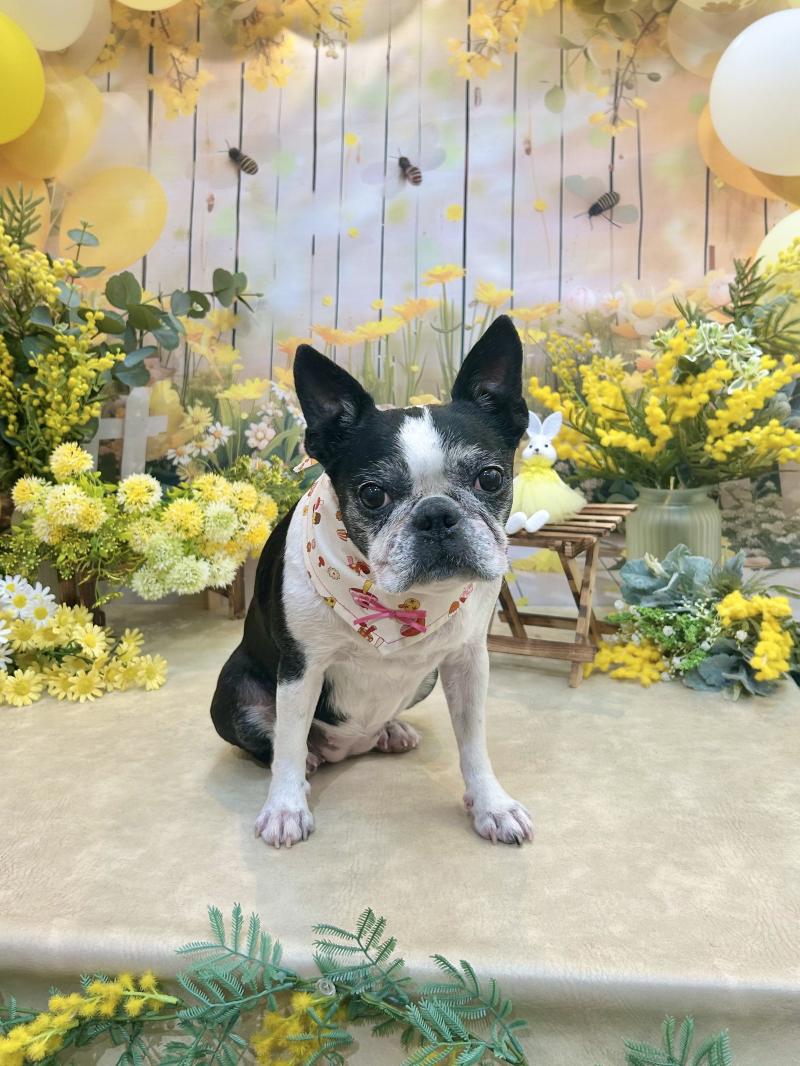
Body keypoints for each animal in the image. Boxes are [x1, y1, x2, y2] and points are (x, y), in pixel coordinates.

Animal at [210, 314, 534, 848]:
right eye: (372, 494)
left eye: (490, 478)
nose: (437, 515)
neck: (396, 603)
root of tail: (349, 747)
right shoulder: (301, 668)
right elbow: (288, 742)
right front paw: (285, 808)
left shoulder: (468, 662)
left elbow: (474, 741)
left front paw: (492, 804)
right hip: (233, 690)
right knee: (276, 741)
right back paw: (310, 762)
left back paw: (388, 730)